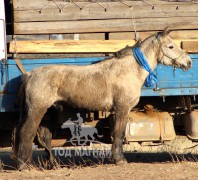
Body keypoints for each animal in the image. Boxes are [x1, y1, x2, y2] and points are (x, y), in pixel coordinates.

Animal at [13, 27, 192, 169]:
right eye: (171, 46)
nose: (188, 62)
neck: (129, 70)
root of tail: (30, 75)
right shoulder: (122, 109)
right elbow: (119, 133)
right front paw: (120, 160)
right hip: (37, 110)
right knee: (26, 133)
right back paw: (24, 165)